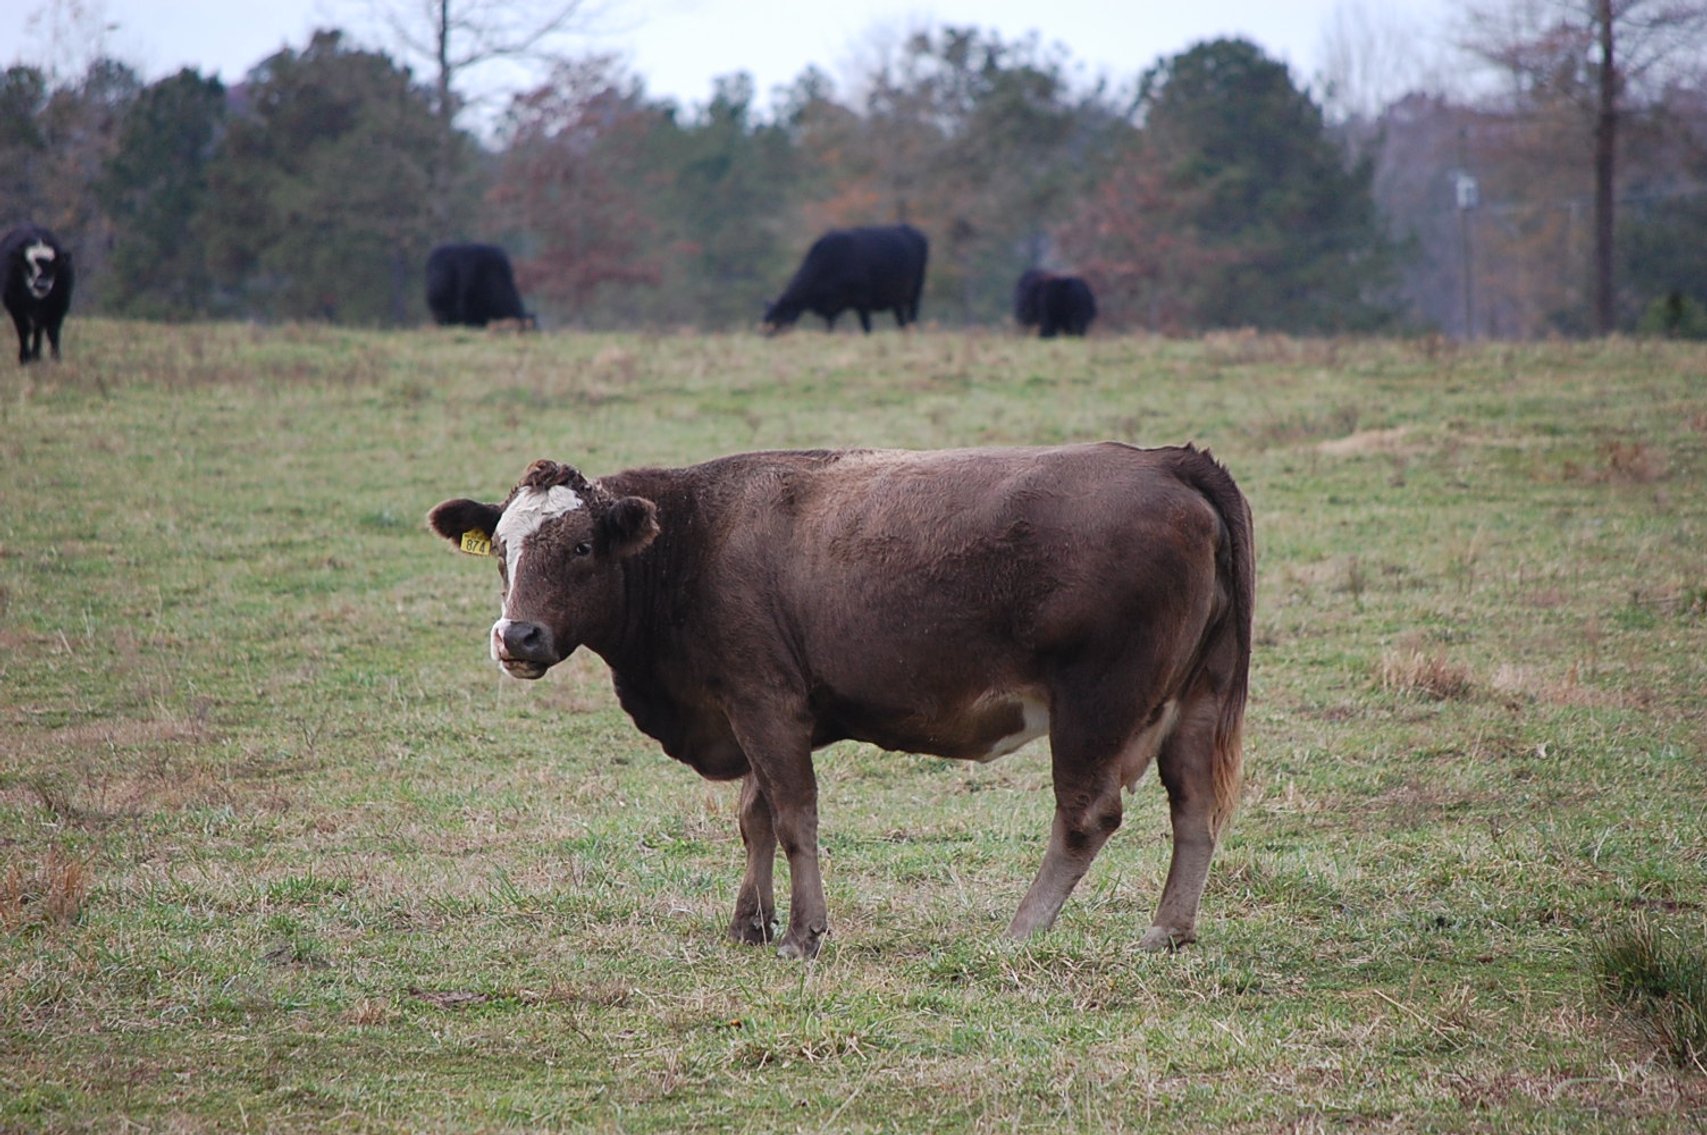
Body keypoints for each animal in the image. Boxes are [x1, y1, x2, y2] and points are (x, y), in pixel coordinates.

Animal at [3, 223, 74, 365]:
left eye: (53, 264)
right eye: (28, 265)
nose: (41, 284)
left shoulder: (60, 305)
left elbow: (52, 331)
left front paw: (56, 358)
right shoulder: (16, 307)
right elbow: (24, 330)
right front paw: (24, 357)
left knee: (39, 329)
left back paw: (36, 355)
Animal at [428, 442, 1254, 960]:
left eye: (580, 547)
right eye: (502, 550)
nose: (517, 635)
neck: (691, 538)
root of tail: (1167, 461)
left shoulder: (764, 701)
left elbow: (794, 816)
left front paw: (802, 932)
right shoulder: (750, 709)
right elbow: (755, 817)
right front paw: (749, 922)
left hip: (1096, 703)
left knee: (1086, 817)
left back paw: (1021, 929)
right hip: (1197, 698)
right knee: (1194, 809)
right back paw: (1167, 931)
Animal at [763, 224, 928, 334]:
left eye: (778, 320)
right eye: (765, 318)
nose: (765, 336)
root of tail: (916, 231)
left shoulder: (862, 299)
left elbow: (866, 327)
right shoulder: (831, 307)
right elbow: (830, 327)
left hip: (916, 289)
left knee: (913, 314)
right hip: (896, 297)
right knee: (901, 319)